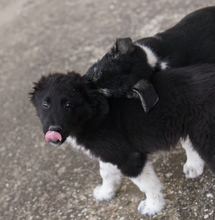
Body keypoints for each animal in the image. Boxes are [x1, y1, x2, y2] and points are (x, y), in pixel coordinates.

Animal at [29, 64, 215, 216]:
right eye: (45, 105)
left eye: (68, 105)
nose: (53, 131)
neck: (94, 114)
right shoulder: (109, 151)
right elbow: (106, 172)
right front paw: (105, 193)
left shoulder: (130, 158)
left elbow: (147, 185)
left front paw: (153, 207)